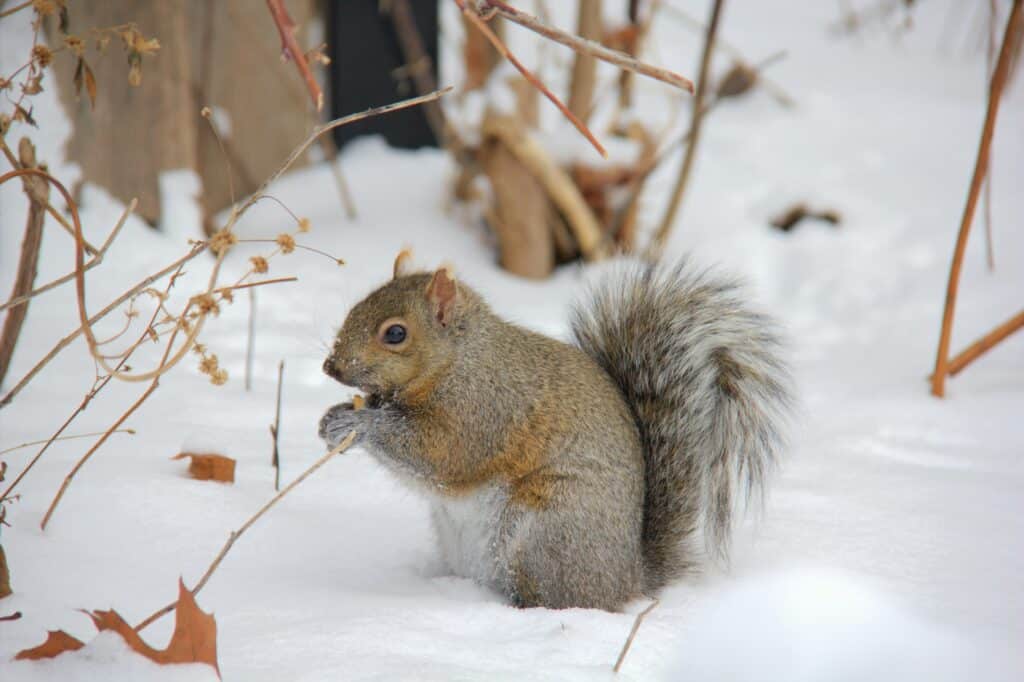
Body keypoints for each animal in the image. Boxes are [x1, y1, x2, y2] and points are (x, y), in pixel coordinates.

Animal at [319, 253, 792, 611]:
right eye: (356, 308)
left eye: (396, 333)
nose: (331, 367)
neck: (460, 358)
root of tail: (627, 579)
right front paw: (333, 418)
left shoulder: (484, 409)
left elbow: (438, 453)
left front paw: (357, 424)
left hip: (545, 533)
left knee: (560, 599)